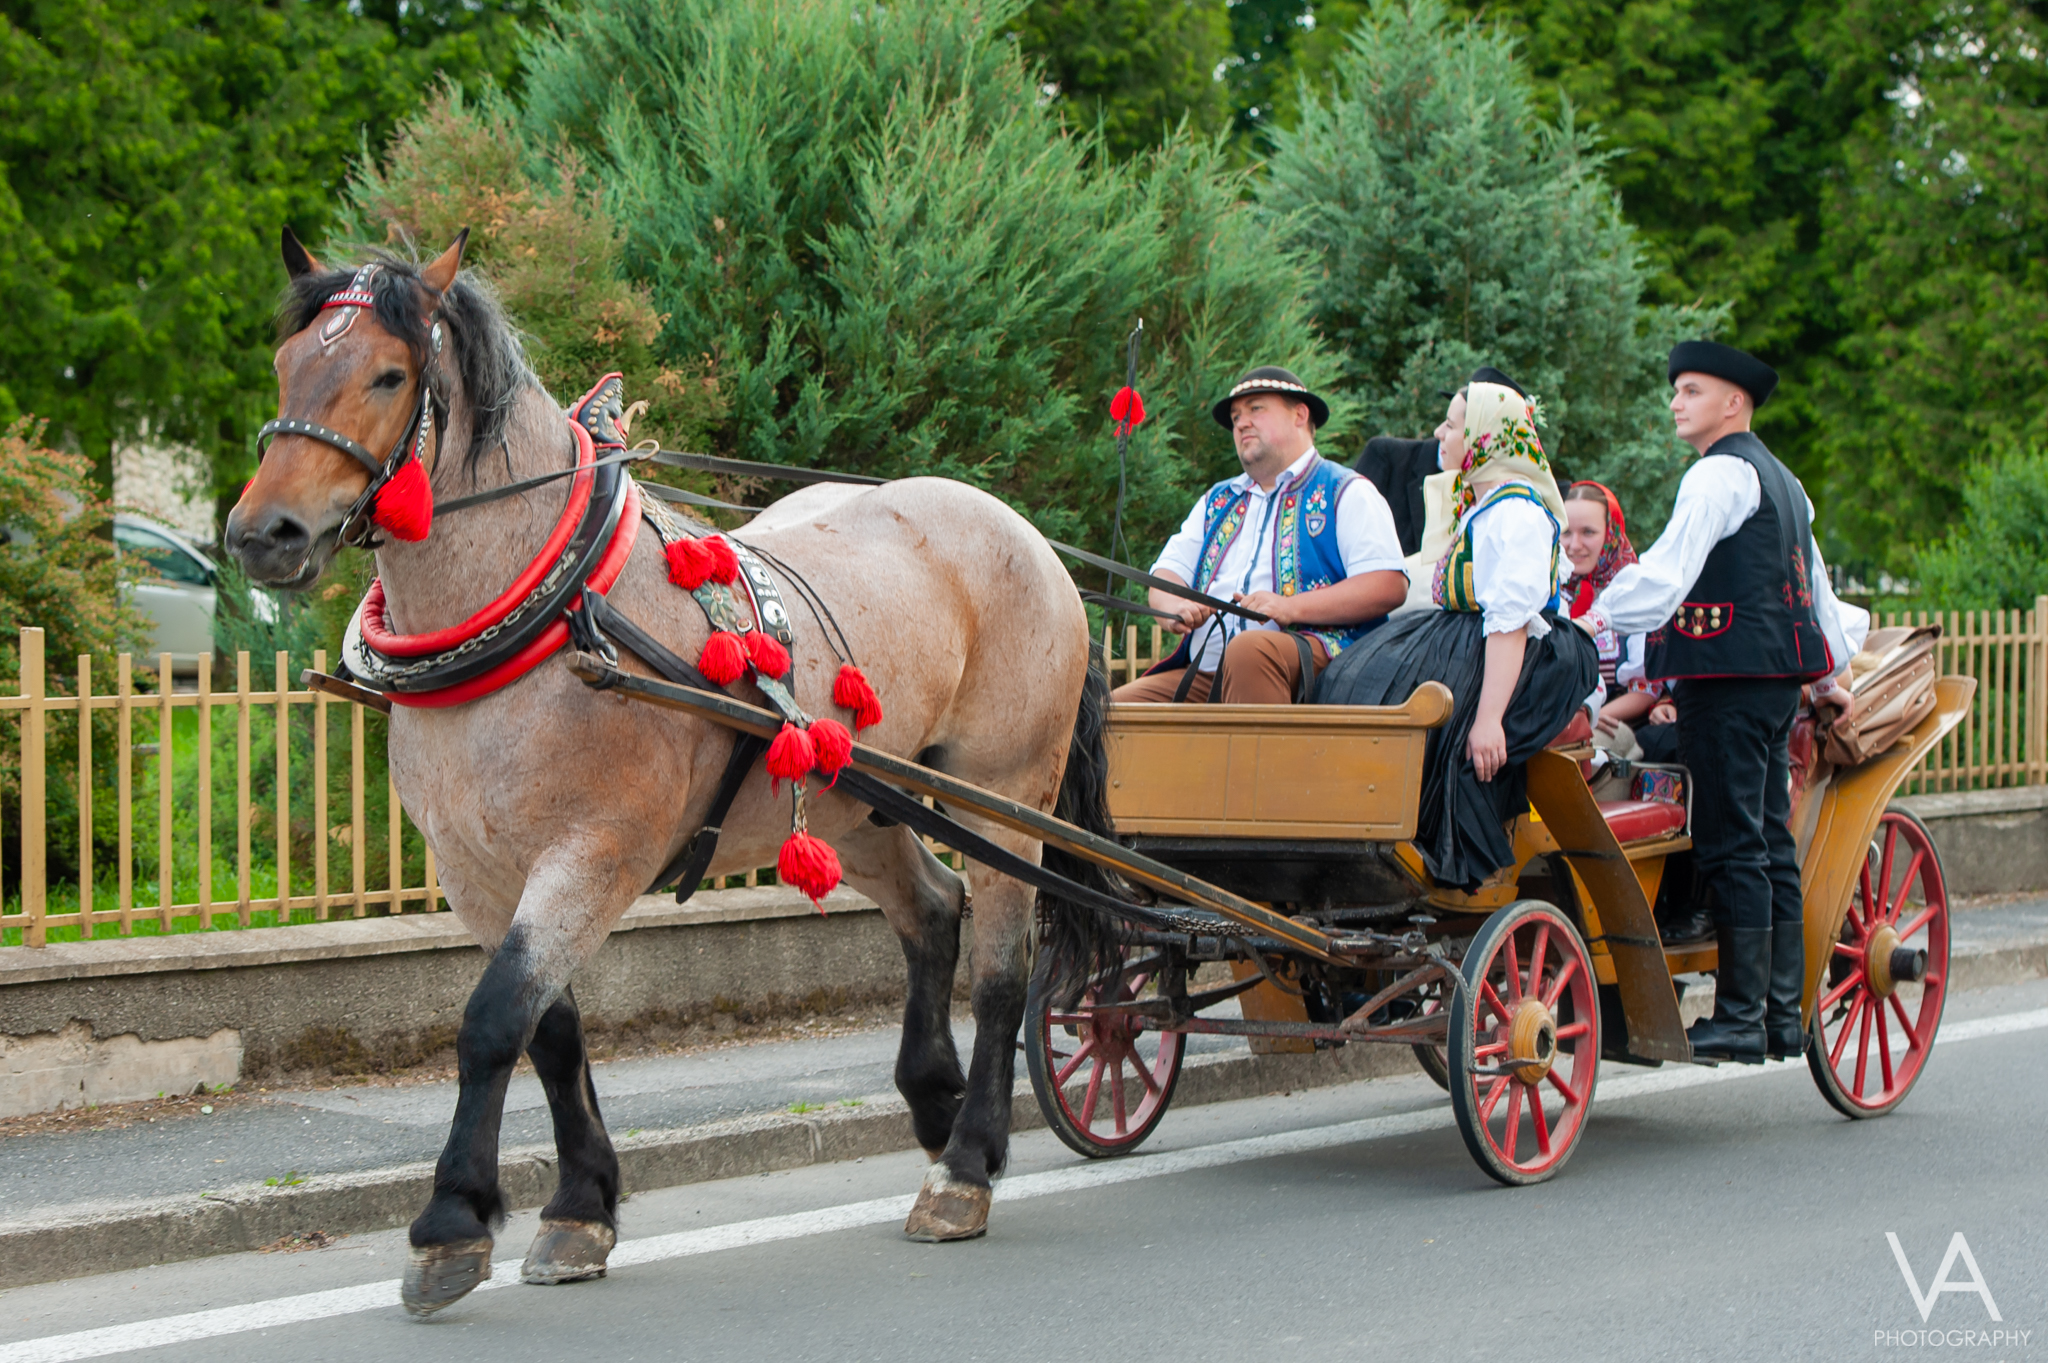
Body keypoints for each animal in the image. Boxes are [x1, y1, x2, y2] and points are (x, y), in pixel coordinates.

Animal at [224, 229, 1110, 1315]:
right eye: (286, 364)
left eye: (388, 375)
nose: (262, 534)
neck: (551, 608)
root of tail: (1020, 531)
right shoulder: (474, 870)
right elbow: (550, 1028)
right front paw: (580, 1206)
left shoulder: (595, 851)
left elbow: (493, 1019)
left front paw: (450, 1221)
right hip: (856, 807)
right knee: (935, 913)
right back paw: (934, 1104)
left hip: (1006, 796)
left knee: (999, 968)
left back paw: (967, 1165)